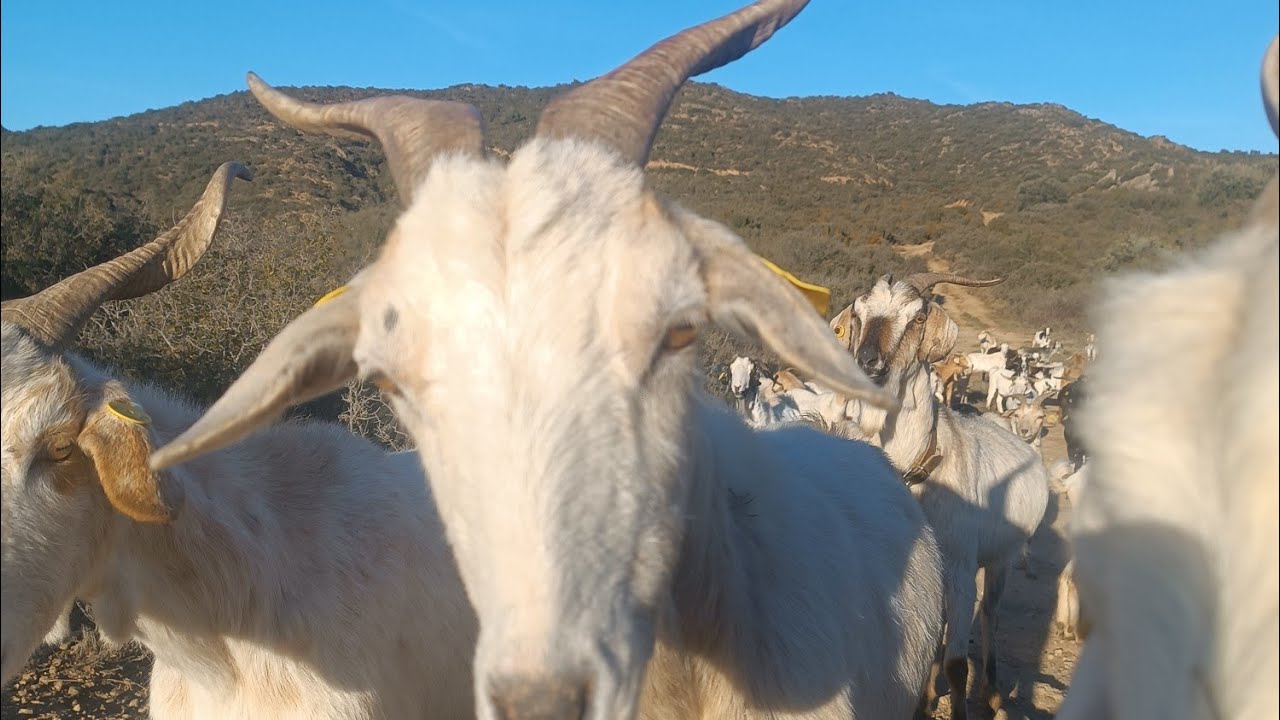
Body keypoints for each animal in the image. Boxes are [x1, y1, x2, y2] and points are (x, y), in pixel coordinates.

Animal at [829, 272, 1050, 720]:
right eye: (858, 314)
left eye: (917, 318)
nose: (867, 362)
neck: (917, 470)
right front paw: (922, 699)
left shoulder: (963, 568)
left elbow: (957, 663)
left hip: (1000, 559)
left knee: (990, 616)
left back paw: (993, 692)